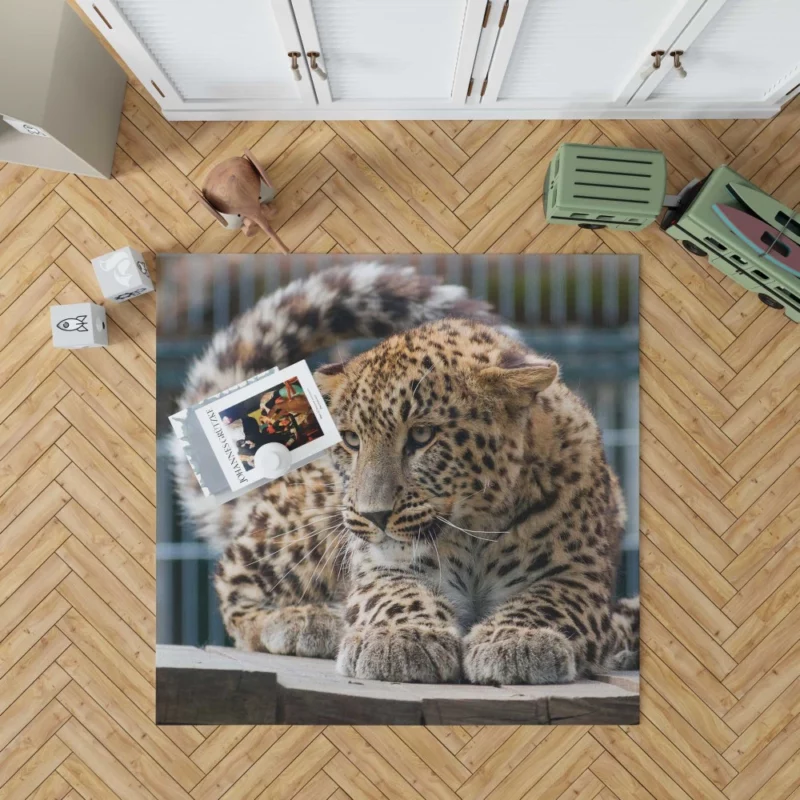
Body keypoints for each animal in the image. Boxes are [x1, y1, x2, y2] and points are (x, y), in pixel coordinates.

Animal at [173, 260, 636, 680]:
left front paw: (518, 640)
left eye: (422, 435)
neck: (477, 528)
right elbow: (395, 595)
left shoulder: (577, 575)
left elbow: (546, 603)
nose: (375, 515)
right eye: (352, 440)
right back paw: (307, 620)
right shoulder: (386, 564)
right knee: (234, 582)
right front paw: (404, 639)